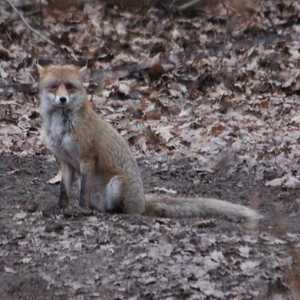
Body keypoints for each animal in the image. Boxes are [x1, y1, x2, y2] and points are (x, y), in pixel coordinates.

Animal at [37, 61, 260, 220]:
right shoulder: (65, 161)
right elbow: (64, 191)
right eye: (54, 87)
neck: (61, 128)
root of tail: (142, 200)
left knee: (129, 211)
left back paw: (112, 213)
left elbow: (83, 192)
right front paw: (60, 209)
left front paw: (80, 211)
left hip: (117, 185)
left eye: (69, 87)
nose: (63, 99)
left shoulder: (87, 158)